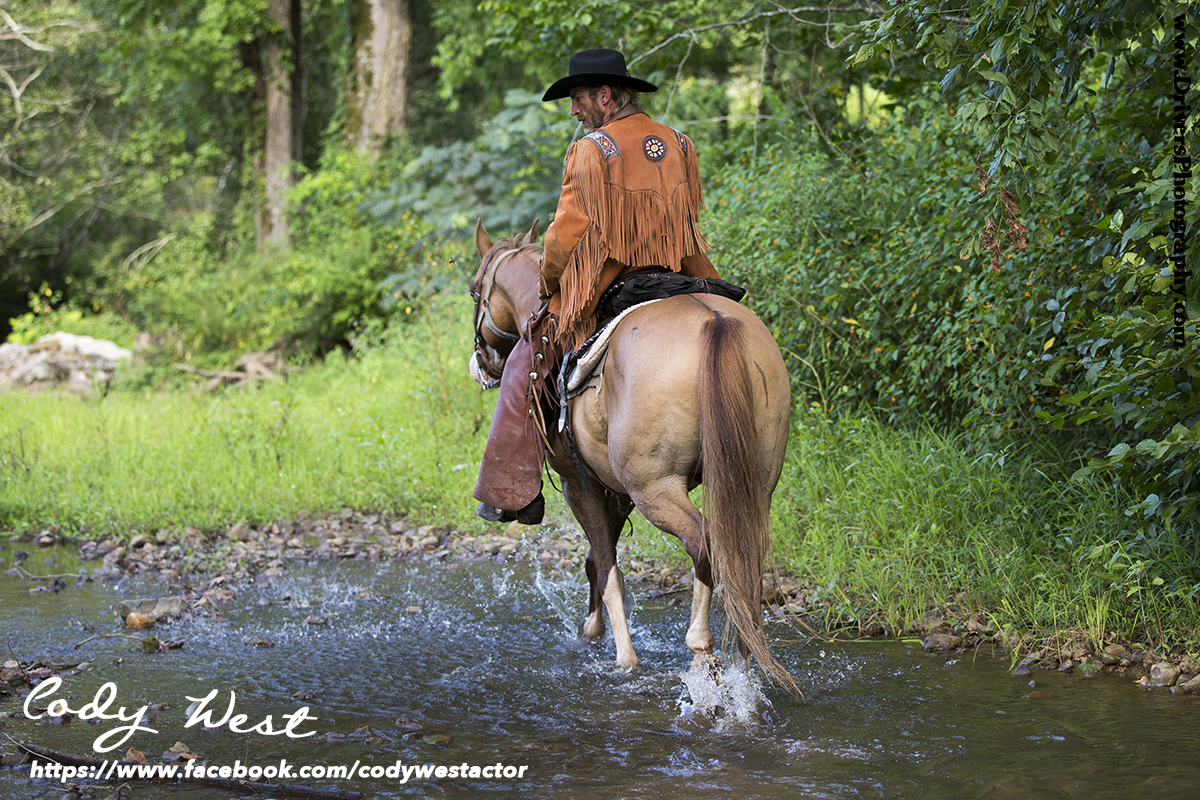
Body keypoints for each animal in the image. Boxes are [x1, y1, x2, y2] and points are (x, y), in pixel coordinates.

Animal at [468, 221, 796, 690]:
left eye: (474, 291)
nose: (481, 365)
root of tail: (714, 322)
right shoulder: (614, 488)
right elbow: (598, 559)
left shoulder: (580, 483)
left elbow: (606, 566)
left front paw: (620, 652)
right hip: (755, 483)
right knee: (742, 554)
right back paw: (745, 657)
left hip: (655, 488)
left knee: (703, 542)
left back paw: (701, 649)